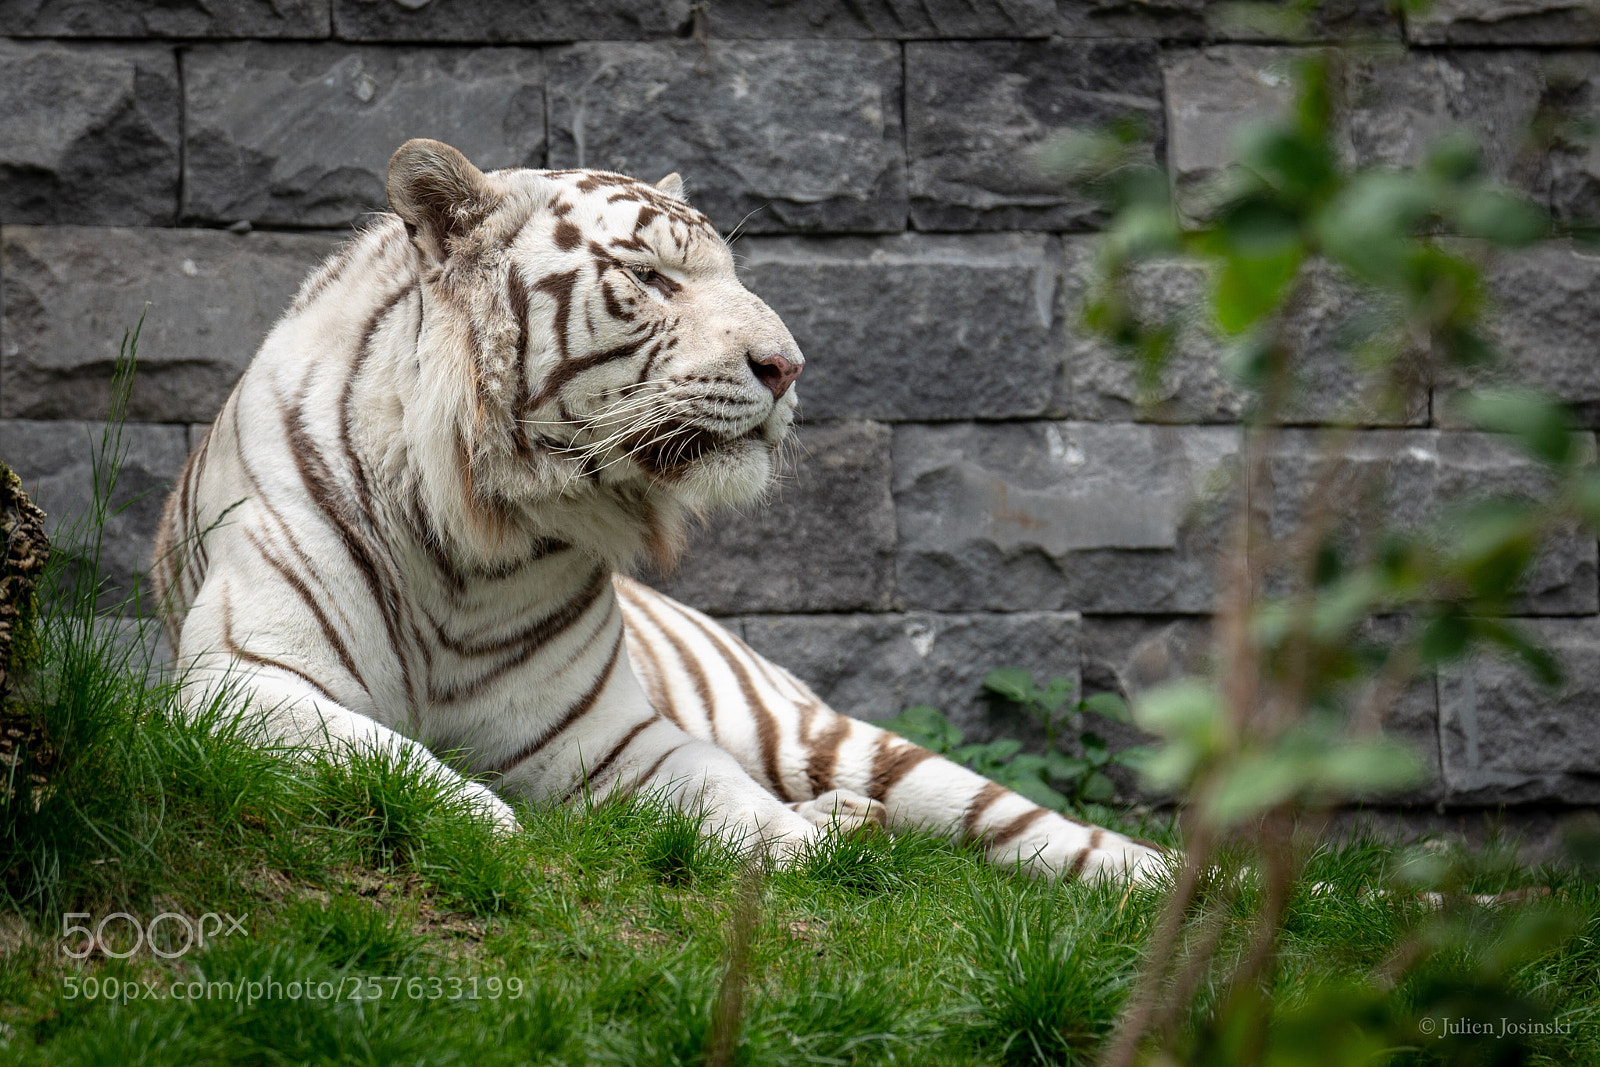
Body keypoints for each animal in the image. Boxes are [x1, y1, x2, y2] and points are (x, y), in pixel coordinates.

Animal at [151, 138, 1164, 883]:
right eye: (650, 277)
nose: (789, 366)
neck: (477, 539)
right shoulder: (242, 680)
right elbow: (378, 752)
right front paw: (482, 819)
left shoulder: (606, 737)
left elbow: (719, 789)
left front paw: (807, 845)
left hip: (824, 734)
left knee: (1021, 821)